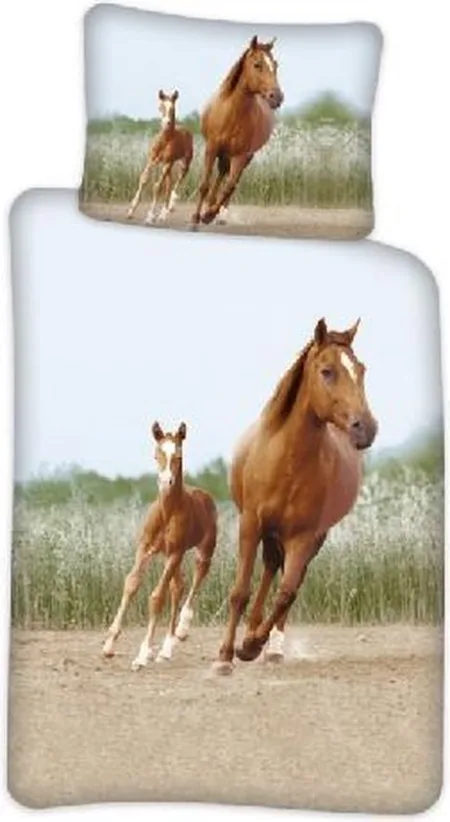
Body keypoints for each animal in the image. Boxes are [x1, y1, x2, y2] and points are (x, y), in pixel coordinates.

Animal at [102, 421, 217, 668]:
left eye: (178, 456)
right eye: (156, 455)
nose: (166, 482)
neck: (167, 512)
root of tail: (205, 496)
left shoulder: (175, 552)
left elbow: (157, 597)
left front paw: (143, 654)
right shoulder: (145, 548)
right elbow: (131, 584)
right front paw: (109, 644)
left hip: (202, 551)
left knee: (195, 580)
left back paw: (180, 632)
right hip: (171, 556)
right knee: (178, 586)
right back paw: (166, 649)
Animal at [127, 90, 194, 225]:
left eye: (172, 108)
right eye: (160, 107)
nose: (167, 123)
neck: (165, 141)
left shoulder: (167, 162)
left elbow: (157, 186)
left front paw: (150, 216)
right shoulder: (152, 160)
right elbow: (144, 179)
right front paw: (131, 211)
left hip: (183, 164)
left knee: (177, 182)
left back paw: (169, 208)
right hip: (169, 165)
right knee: (169, 184)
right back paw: (162, 214)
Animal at [191, 35, 284, 226]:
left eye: (275, 65)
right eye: (257, 64)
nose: (277, 97)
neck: (232, 114)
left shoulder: (241, 155)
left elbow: (229, 187)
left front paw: (209, 214)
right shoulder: (212, 148)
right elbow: (205, 184)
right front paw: (196, 217)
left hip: (244, 156)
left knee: (229, 181)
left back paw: (217, 213)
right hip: (223, 153)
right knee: (220, 175)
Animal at [213, 318, 378, 675]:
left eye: (361, 369)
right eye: (327, 371)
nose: (365, 428)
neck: (285, 461)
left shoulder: (304, 535)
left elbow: (287, 592)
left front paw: (251, 646)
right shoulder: (250, 524)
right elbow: (240, 591)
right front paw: (224, 656)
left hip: (311, 537)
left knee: (288, 579)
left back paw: (268, 646)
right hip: (270, 531)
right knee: (270, 567)